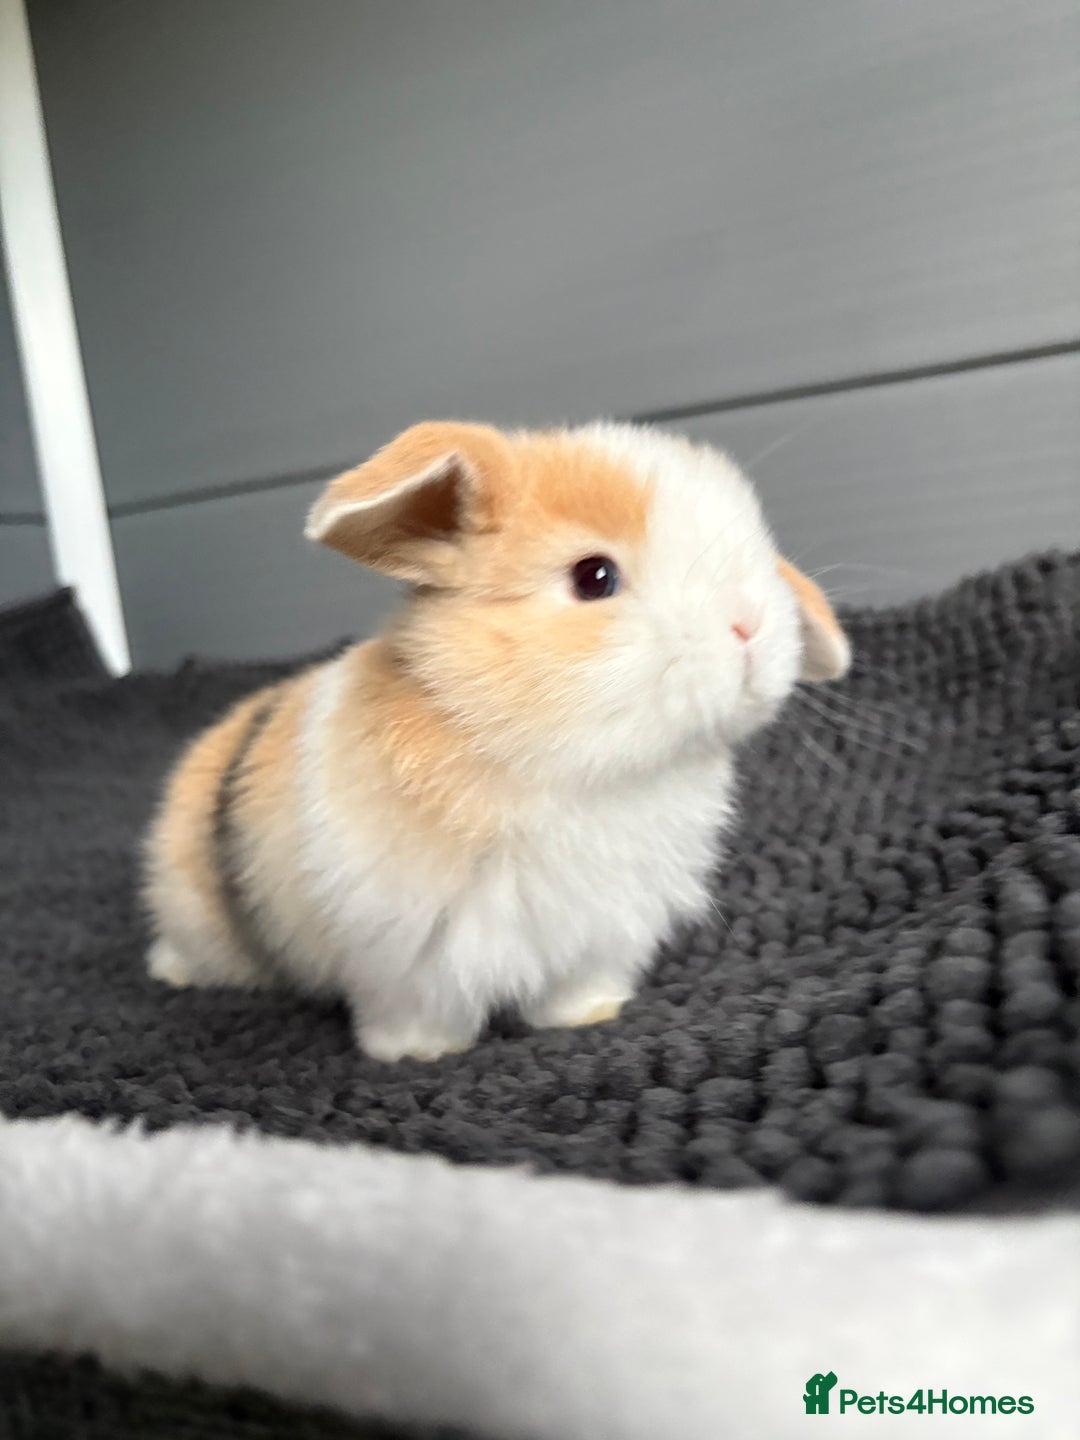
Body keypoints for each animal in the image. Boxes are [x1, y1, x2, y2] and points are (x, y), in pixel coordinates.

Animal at [143, 420, 849, 1062]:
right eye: (594, 577)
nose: (750, 624)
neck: (571, 773)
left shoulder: (599, 933)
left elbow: (577, 987)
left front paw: (590, 1015)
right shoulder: (405, 960)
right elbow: (415, 1013)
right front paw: (415, 1055)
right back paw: (170, 971)